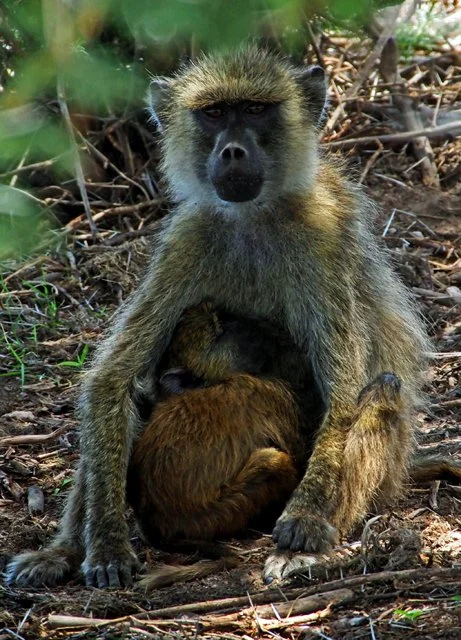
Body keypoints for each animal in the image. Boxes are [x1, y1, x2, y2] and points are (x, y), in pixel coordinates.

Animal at [7, 46, 461, 590]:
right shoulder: (189, 239)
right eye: (215, 113)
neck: (253, 217)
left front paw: (305, 521)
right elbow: (111, 381)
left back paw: (306, 545)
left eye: (255, 110)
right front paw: (107, 545)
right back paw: (60, 552)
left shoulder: (321, 240)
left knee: (383, 389)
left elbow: (344, 392)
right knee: (134, 392)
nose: (233, 152)